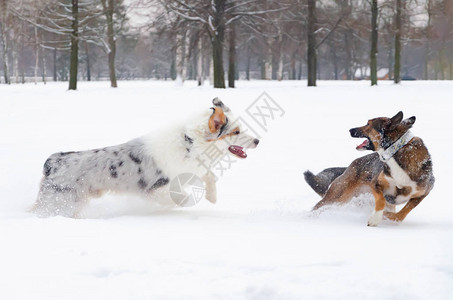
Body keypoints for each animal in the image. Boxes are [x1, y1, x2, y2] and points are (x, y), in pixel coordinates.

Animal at [304, 111, 434, 226]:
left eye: (368, 123)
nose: (350, 130)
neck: (395, 151)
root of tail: (350, 165)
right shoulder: (375, 184)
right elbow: (381, 201)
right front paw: (375, 218)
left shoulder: (422, 193)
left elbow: (401, 215)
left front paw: (384, 217)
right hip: (337, 196)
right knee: (319, 207)